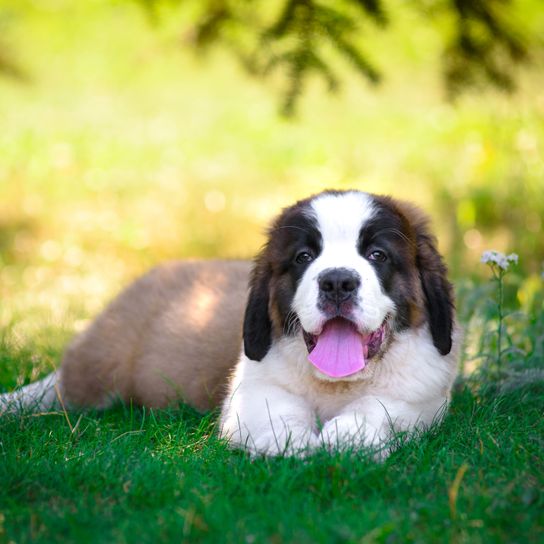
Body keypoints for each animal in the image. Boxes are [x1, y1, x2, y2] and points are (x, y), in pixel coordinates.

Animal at [0, 189, 460, 456]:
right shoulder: (251, 388)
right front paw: (292, 442)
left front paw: (346, 437)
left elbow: (382, 407)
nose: (337, 282)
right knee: (63, 387)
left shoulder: (423, 396)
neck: (336, 384)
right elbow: (273, 409)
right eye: (303, 257)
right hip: (103, 361)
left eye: (378, 255)